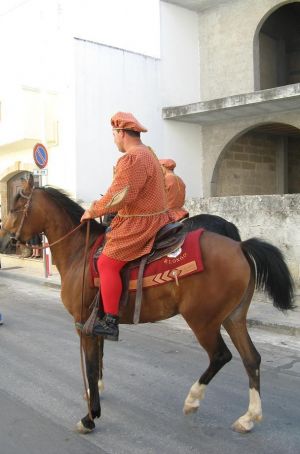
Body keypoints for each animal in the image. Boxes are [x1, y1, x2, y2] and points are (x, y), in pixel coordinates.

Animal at [1, 176, 292, 434]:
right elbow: (100, 358)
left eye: (15, 207)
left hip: (203, 321)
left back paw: (193, 399)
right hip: (234, 317)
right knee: (251, 359)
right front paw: (95, 393)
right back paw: (249, 418)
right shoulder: (95, 323)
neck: (80, 252)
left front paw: (90, 417)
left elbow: (91, 365)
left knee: (221, 355)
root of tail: (240, 246)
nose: (5, 240)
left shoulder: (83, 324)